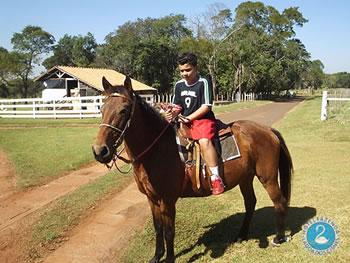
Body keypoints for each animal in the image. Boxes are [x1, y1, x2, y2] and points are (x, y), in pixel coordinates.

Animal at [92, 76, 292, 262]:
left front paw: (170, 259)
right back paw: (241, 235)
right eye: (101, 109)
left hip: (268, 178)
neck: (158, 149)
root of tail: (268, 130)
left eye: (124, 110)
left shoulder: (167, 200)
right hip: (245, 178)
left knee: (279, 201)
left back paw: (279, 237)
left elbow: (169, 231)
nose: (100, 151)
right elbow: (158, 228)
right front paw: (157, 256)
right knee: (250, 203)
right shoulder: (152, 199)